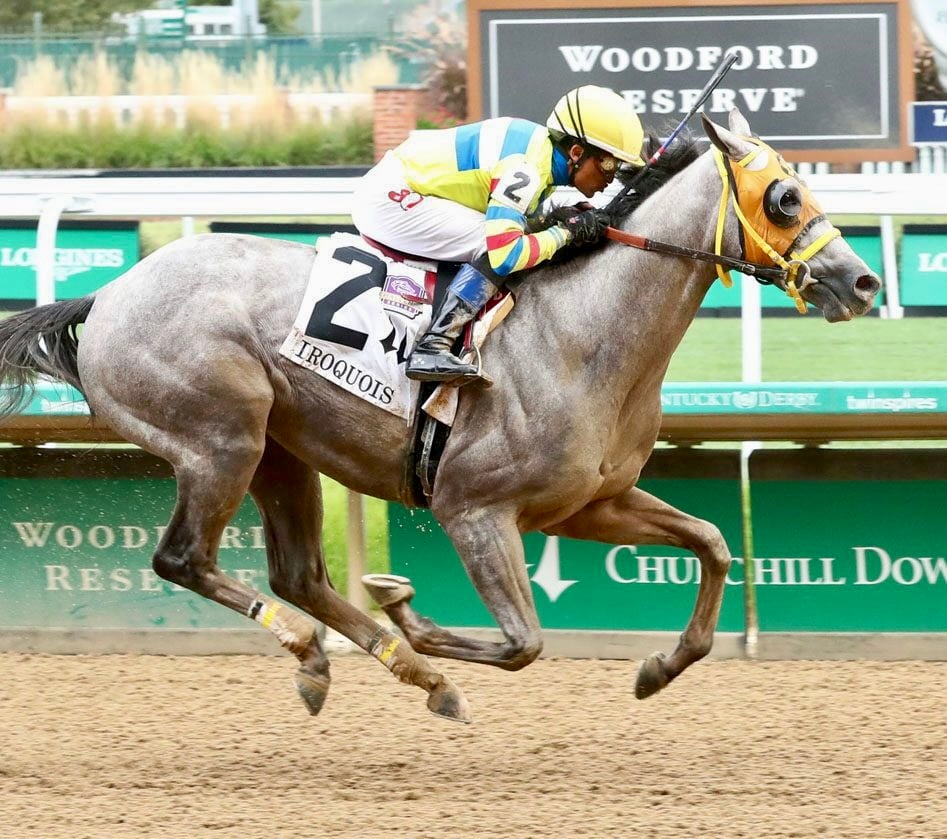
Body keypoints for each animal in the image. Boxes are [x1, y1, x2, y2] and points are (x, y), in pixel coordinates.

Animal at [0, 110, 880, 723]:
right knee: (183, 558)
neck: (582, 333)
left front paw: (657, 667)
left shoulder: (591, 503)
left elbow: (713, 543)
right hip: (221, 438)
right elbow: (524, 642)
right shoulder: (474, 509)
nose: (862, 282)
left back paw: (385, 670)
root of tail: (108, 295)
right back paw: (333, 648)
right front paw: (407, 609)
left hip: (280, 449)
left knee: (299, 573)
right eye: (785, 196)